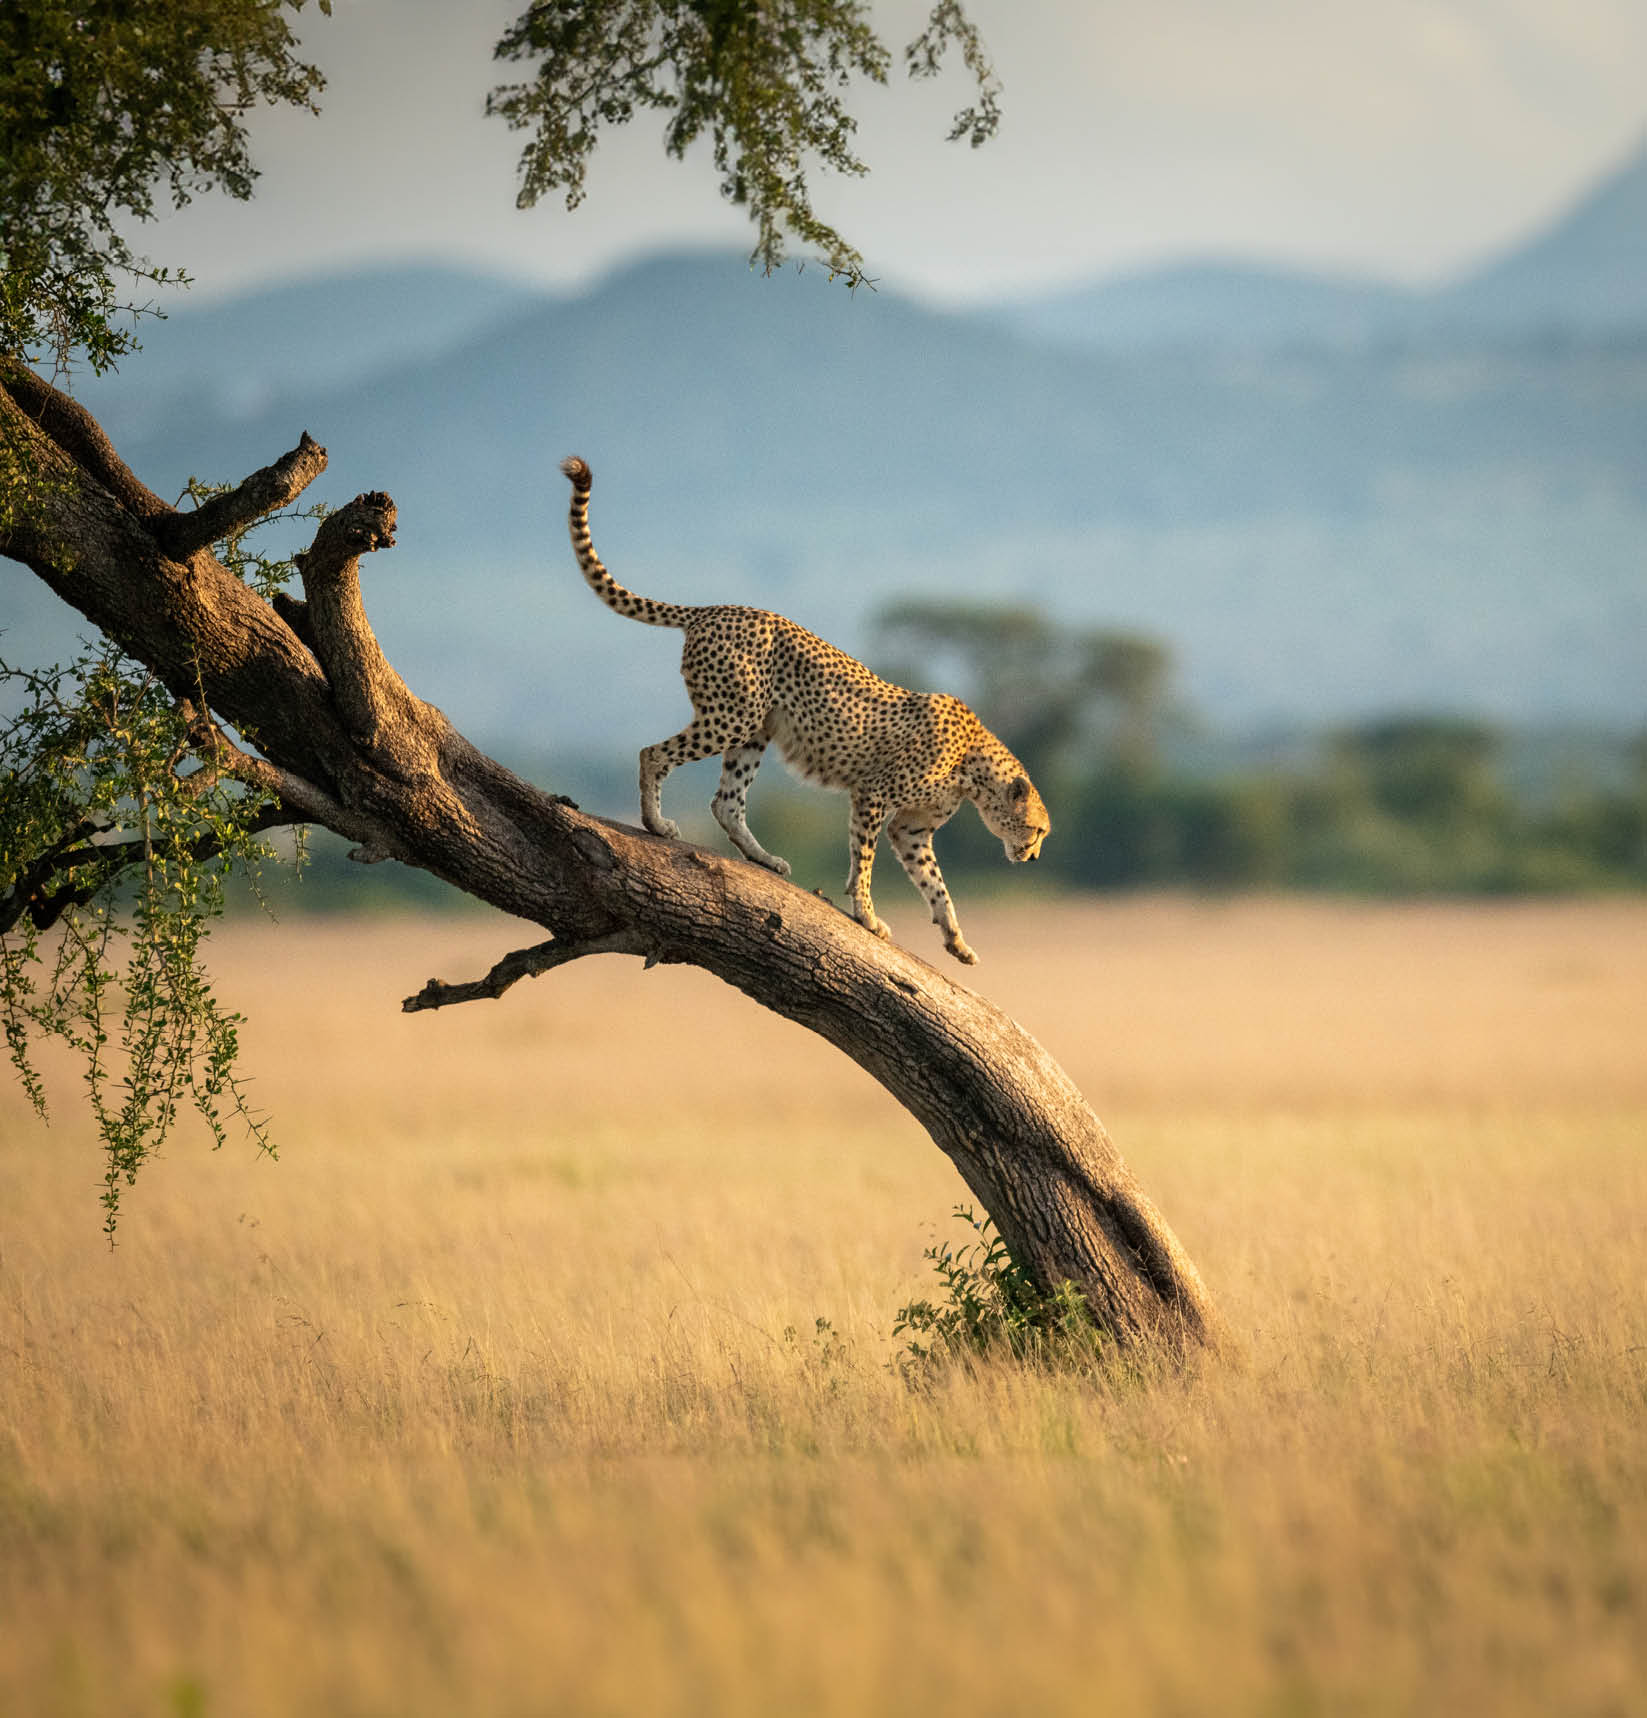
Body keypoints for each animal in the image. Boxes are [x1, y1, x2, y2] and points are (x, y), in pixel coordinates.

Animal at [558, 456, 1050, 965]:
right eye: (1036, 831)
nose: (1032, 856)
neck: (974, 767)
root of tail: (716, 608)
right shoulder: (872, 794)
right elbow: (864, 860)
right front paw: (866, 914)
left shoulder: (912, 828)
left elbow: (935, 883)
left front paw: (956, 939)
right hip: (731, 717)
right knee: (653, 754)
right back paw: (656, 823)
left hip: (754, 729)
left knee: (726, 801)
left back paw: (763, 858)